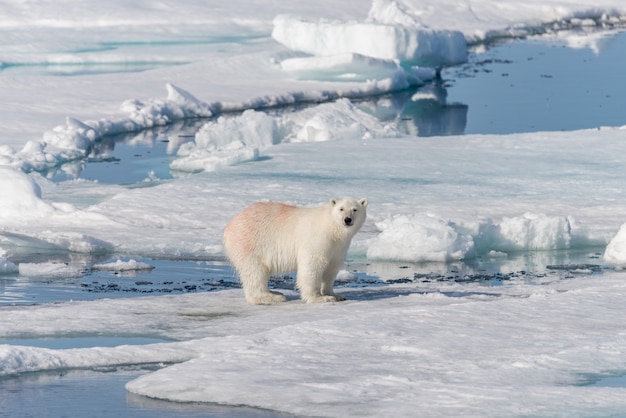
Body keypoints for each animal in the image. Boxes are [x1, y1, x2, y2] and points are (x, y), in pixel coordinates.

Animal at [223, 197, 366, 304]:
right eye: (341, 209)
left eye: (355, 209)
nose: (347, 219)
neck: (331, 228)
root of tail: (229, 226)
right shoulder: (317, 239)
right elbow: (312, 266)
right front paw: (319, 298)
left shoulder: (339, 247)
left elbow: (331, 269)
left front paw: (335, 295)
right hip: (250, 243)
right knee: (254, 271)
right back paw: (272, 297)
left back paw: (274, 292)